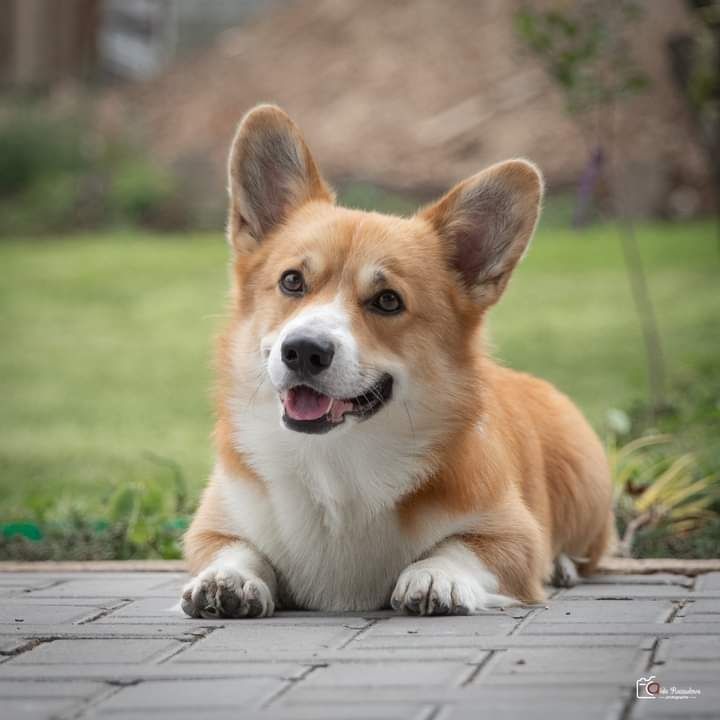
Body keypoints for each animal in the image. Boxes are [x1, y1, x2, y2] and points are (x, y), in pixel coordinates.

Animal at [181, 104, 612, 616]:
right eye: (291, 281)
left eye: (388, 301)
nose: (303, 350)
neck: (336, 464)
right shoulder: (215, 523)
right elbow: (236, 549)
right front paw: (226, 580)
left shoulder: (512, 536)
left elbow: (457, 548)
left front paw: (434, 577)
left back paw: (564, 565)